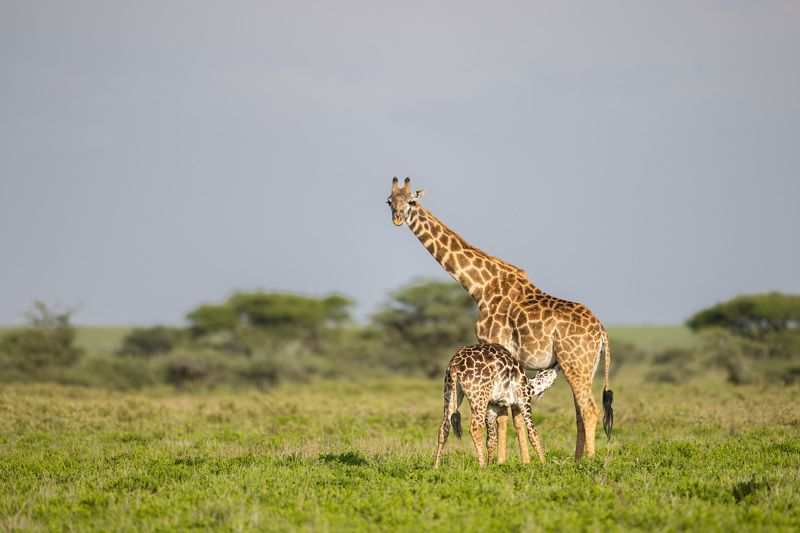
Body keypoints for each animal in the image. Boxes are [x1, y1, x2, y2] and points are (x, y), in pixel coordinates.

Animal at [386, 177, 614, 461]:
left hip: (575, 363)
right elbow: (512, 415)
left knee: (589, 409)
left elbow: (503, 416)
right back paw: (575, 460)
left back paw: (588, 462)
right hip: (584, 367)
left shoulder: (494, 344)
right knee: (580, 411)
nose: (397, 218)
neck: (480, 287)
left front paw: (503, 461)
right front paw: (519, 461)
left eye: (412, 202)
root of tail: (601, 331)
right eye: (389, 201)